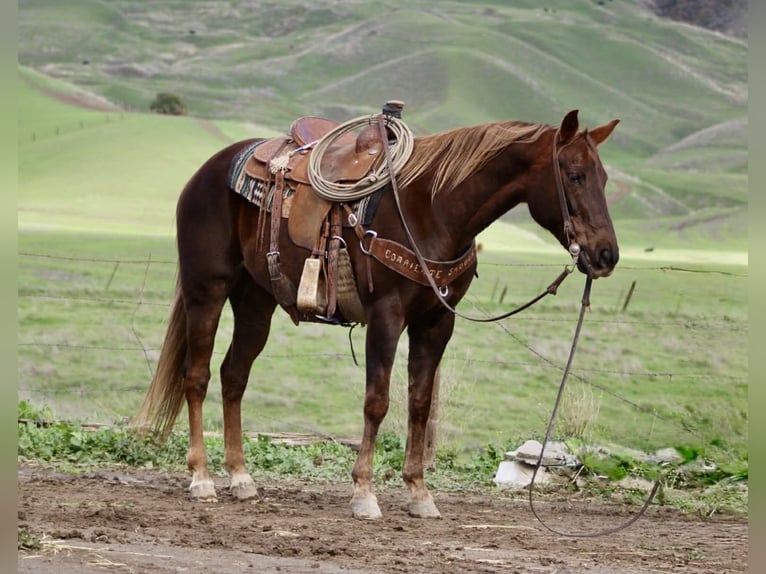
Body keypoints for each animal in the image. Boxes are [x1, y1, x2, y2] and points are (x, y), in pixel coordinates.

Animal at [133, 109, 620, 520]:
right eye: (574, 175)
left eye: (604, 178)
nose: (606, 254)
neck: (431, 208)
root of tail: (207, 171)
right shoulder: (387, 316)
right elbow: (378, 401)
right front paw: (364, 493)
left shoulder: (437, 322)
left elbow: (419, 404)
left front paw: (420, 493)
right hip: (207, 290)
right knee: (196, 377)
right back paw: (201, 478)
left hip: (256, 301)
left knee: (234, 376)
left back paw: (240, 477)